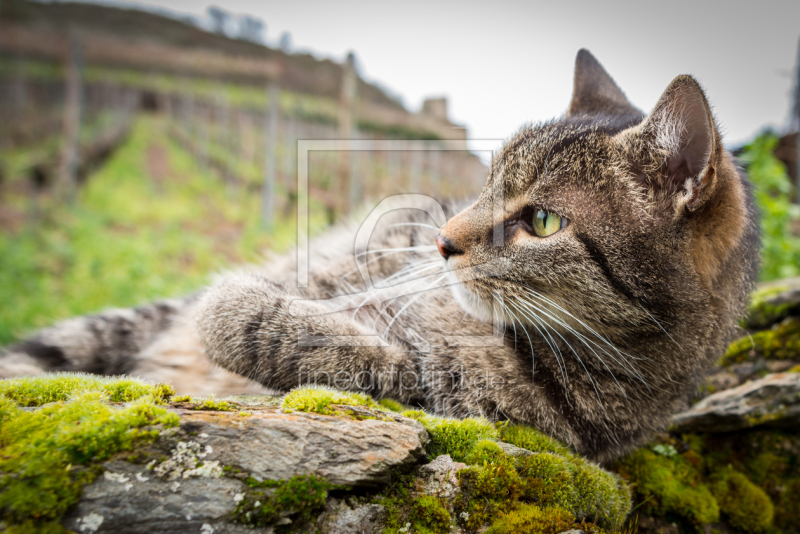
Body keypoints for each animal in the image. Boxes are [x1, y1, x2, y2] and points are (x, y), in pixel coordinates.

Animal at [1, 50, 764, 462]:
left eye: (542, 221)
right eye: (486, 183)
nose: (443, 239)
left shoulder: (425, 388)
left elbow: (306, 338)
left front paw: (236, 306)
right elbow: (307, 288)